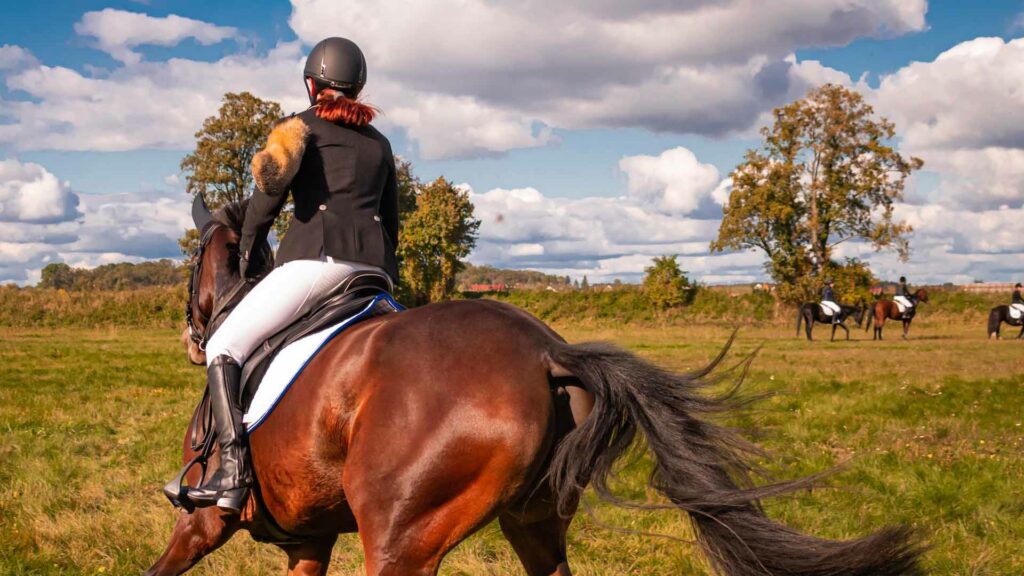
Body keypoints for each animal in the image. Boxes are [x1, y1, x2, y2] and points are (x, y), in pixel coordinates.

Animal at [146, 198, 929, 573]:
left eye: (189, 263)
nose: (190, 334)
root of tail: (547, 353)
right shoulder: (308, 540)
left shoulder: (206, 522)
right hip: (536, 521)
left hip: (402, 538)